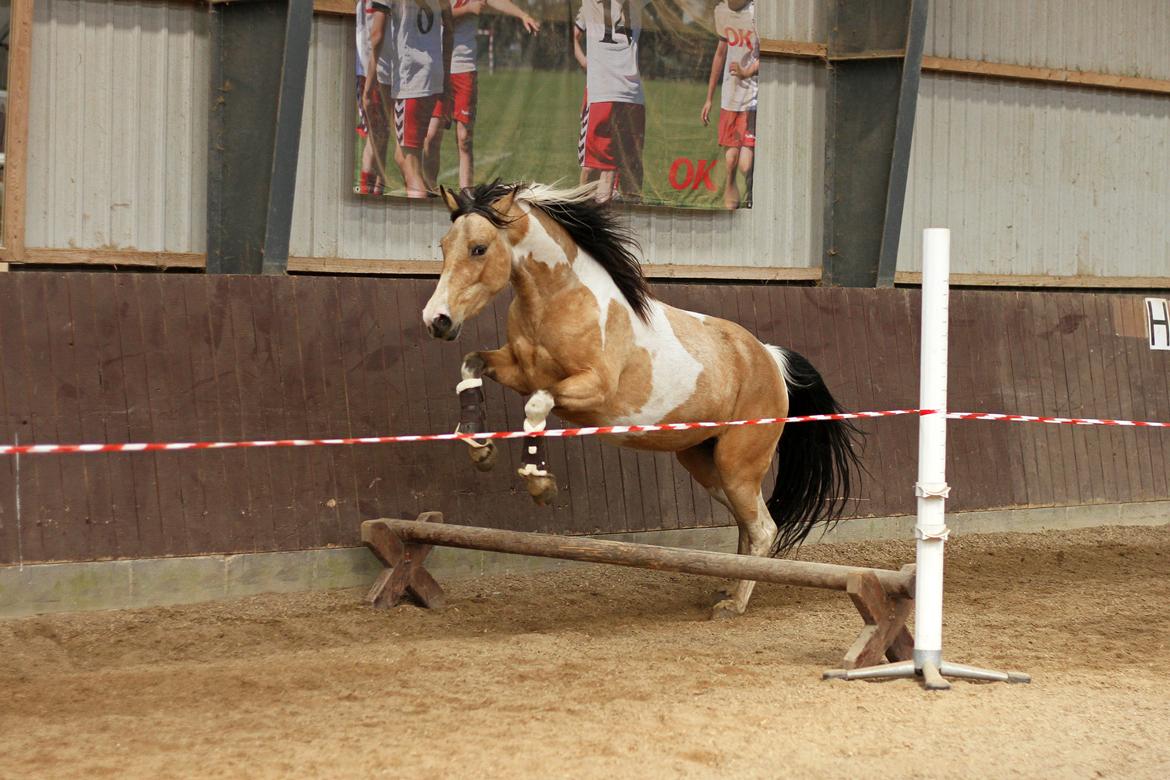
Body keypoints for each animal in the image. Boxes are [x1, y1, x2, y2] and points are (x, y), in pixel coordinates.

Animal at [421, 180, 861, 617]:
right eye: (443, 245)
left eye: (479, 248)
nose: (436, 320)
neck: (560, 301)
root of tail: (769, 358)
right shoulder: (518, 371)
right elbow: (471, 364)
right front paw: (480, 447)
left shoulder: (592, 389)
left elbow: (536, 406)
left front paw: (538, 482)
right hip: (703, 462)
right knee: (747, 524)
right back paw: (726, 585)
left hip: (737, 465)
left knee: (764, 527)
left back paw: (734, 604)